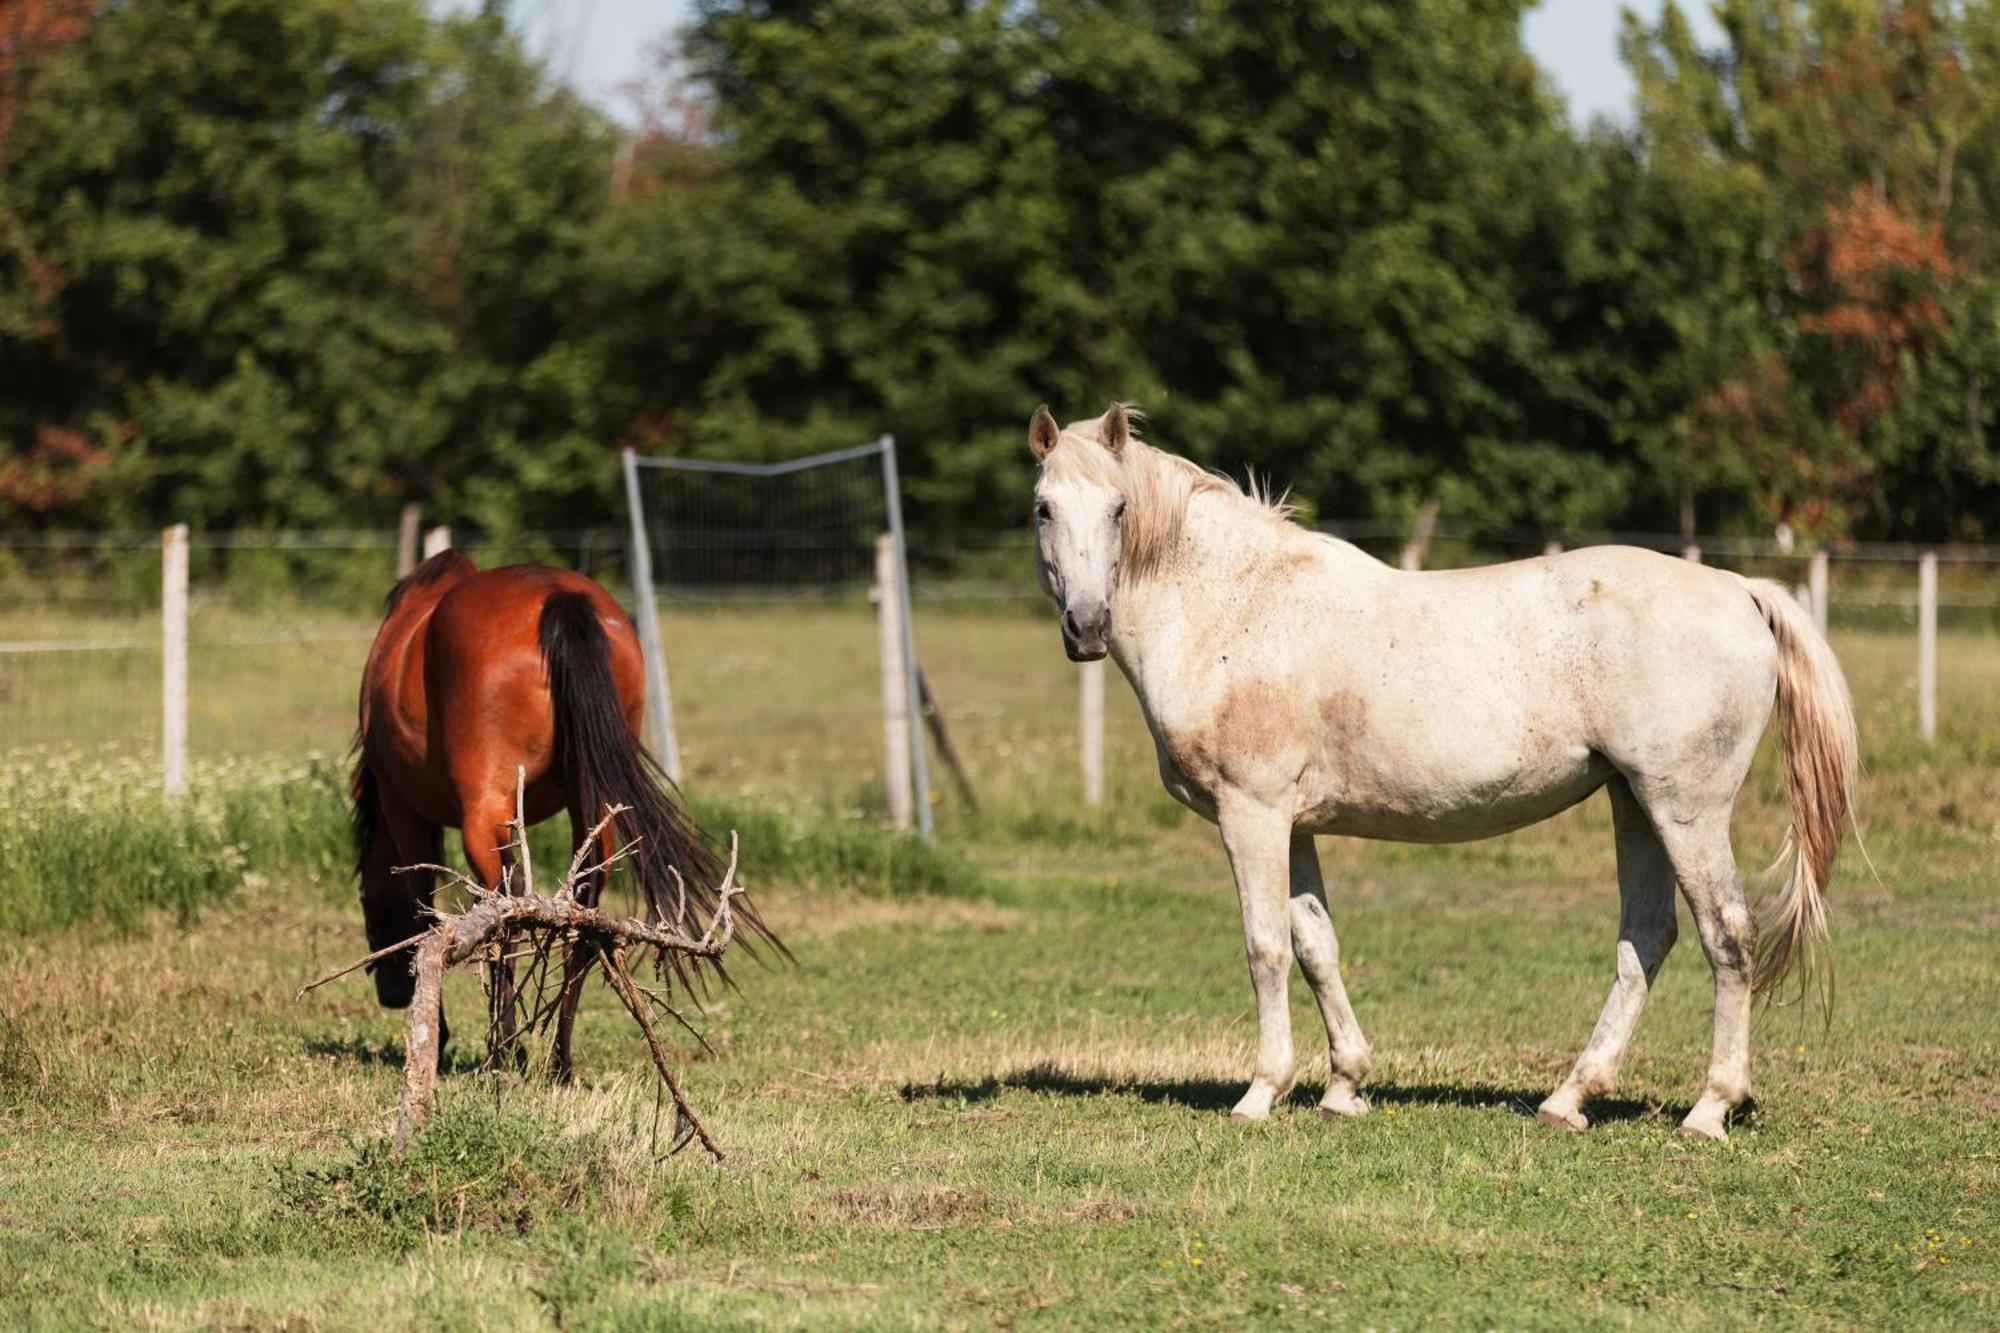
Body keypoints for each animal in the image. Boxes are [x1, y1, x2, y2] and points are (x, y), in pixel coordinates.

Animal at [352, 548, 772, 1072]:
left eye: (368, 909)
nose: (390, 994)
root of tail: (560, 599)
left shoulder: (403, 808)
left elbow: (423, 910)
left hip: (485, 812)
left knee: (506, 906)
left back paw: (504, 1052)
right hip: (593, 803)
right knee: (584, 910)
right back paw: (559, 1061)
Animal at [1032, 400, 1856, 1136]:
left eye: (1118, 507)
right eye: (1043, 508)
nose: (1087, 627)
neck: (1232, 607)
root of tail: (1741, 590)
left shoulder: (1252, 814)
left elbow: (1265, 946)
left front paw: (1262, 1092)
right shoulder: (1293, 826)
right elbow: (1317, 946)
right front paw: (1344, 1087)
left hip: (1685, 809)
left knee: (1729, 935)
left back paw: (1709, 1109)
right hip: (1635, 803)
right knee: (1647, 938)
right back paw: (1569, 1100)